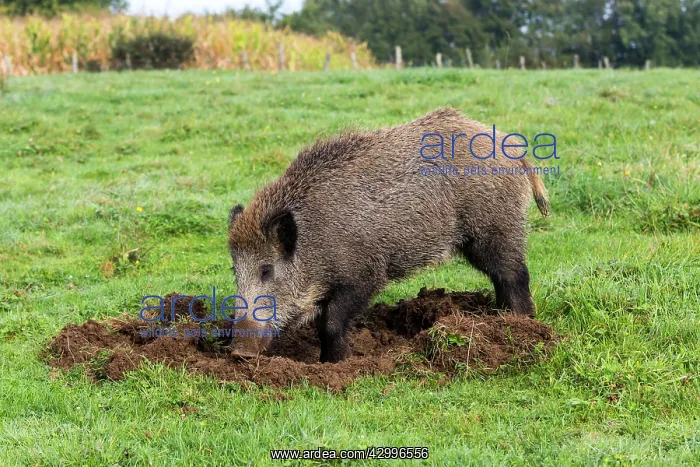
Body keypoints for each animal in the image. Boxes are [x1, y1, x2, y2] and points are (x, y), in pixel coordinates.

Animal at [227, 107, 550, 362]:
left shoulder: (365, 274)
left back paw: (520, 323)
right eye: (235, 270)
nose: (239, 353)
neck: (314, 240)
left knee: (513, 275)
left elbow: (331, 323)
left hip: (495, 228)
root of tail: (512, 148)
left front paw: (336, 363)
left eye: (267, 270)